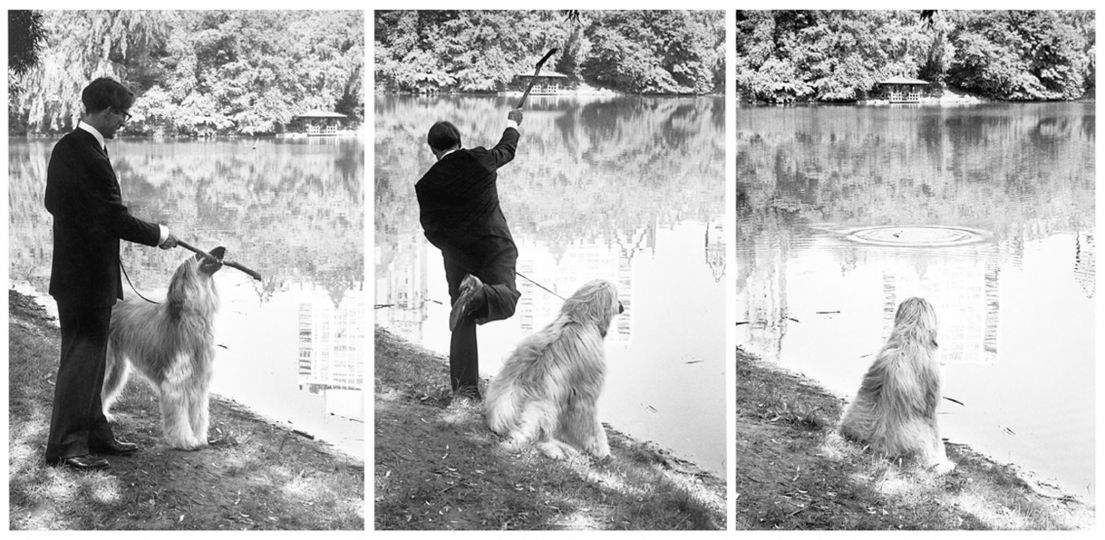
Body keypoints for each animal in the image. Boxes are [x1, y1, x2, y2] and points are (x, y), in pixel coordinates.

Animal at [101, 246, 224, 448]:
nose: (222, 249)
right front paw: (184, 440)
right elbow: (179, 416)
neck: (193, 317)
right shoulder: (176, 381)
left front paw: (198, 437)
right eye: (199, 254)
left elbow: (199, 414)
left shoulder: (199, 380)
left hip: (117, 367)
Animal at [483, 278, 623, 459]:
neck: (580, 319)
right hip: (544, 408)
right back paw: (559, 448)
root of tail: (500, 421)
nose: (623, 306)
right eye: (617, 296)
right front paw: (601, 450)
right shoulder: (584, 394)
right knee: (539, 438)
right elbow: (590, 425)